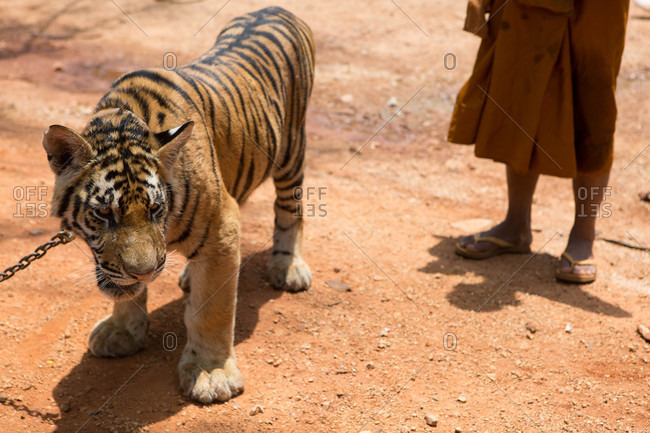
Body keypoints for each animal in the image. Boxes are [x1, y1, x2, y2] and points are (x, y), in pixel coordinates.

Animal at [41, 6, 314, 403]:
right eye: (104, 213)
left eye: (156, 209)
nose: (143, 273)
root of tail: (276, 8)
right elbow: (127, 291)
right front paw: (122, 331)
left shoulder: (222, 223)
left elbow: (211, 310)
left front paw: (211, 375)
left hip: (291, 153)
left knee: (290, 211)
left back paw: (288, 267)